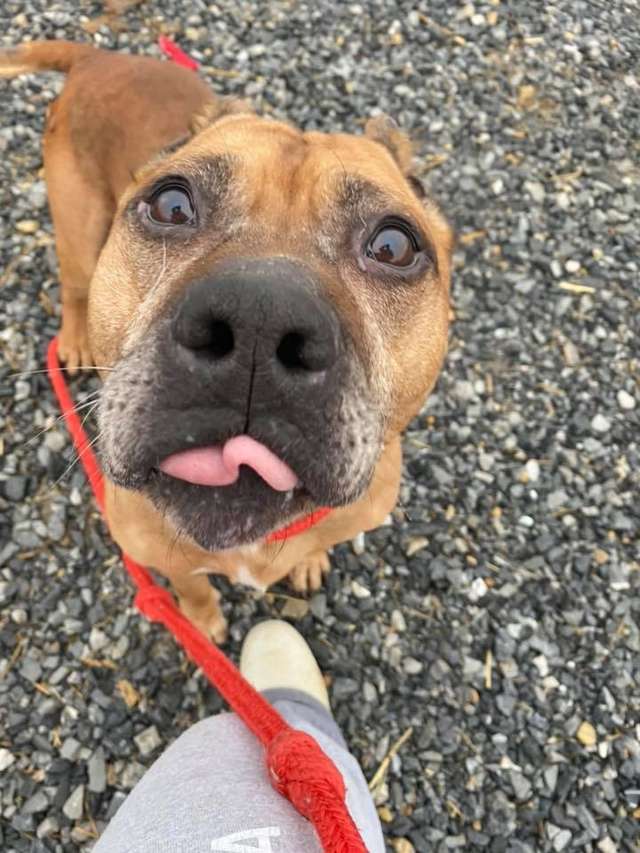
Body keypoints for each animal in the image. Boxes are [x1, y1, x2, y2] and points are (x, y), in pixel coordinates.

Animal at [1, 40, 450, 640]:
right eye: (172, 205)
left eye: (394, 246)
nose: (259, 318)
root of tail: (97, 57)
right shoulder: (151, 547)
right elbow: (190, 584)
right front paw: (203, 621)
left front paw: (309, 560)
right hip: (77, 227)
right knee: (74, 286)